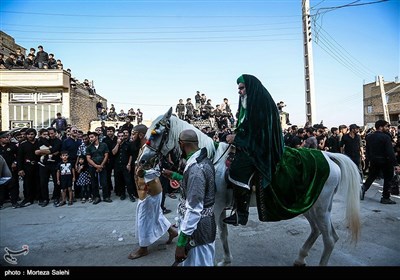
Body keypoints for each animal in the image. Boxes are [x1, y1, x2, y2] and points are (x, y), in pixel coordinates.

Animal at [139, 108, 360, 266]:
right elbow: (223, 234)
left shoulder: (214, 208)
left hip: (319, 207)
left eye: (156, 133)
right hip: (310, 205)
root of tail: (328, 156)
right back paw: (300, 258)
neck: (210, 158)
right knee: (317, 231)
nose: (142, 160)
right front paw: (226, 260)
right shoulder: (220, 208)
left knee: (330, 238)